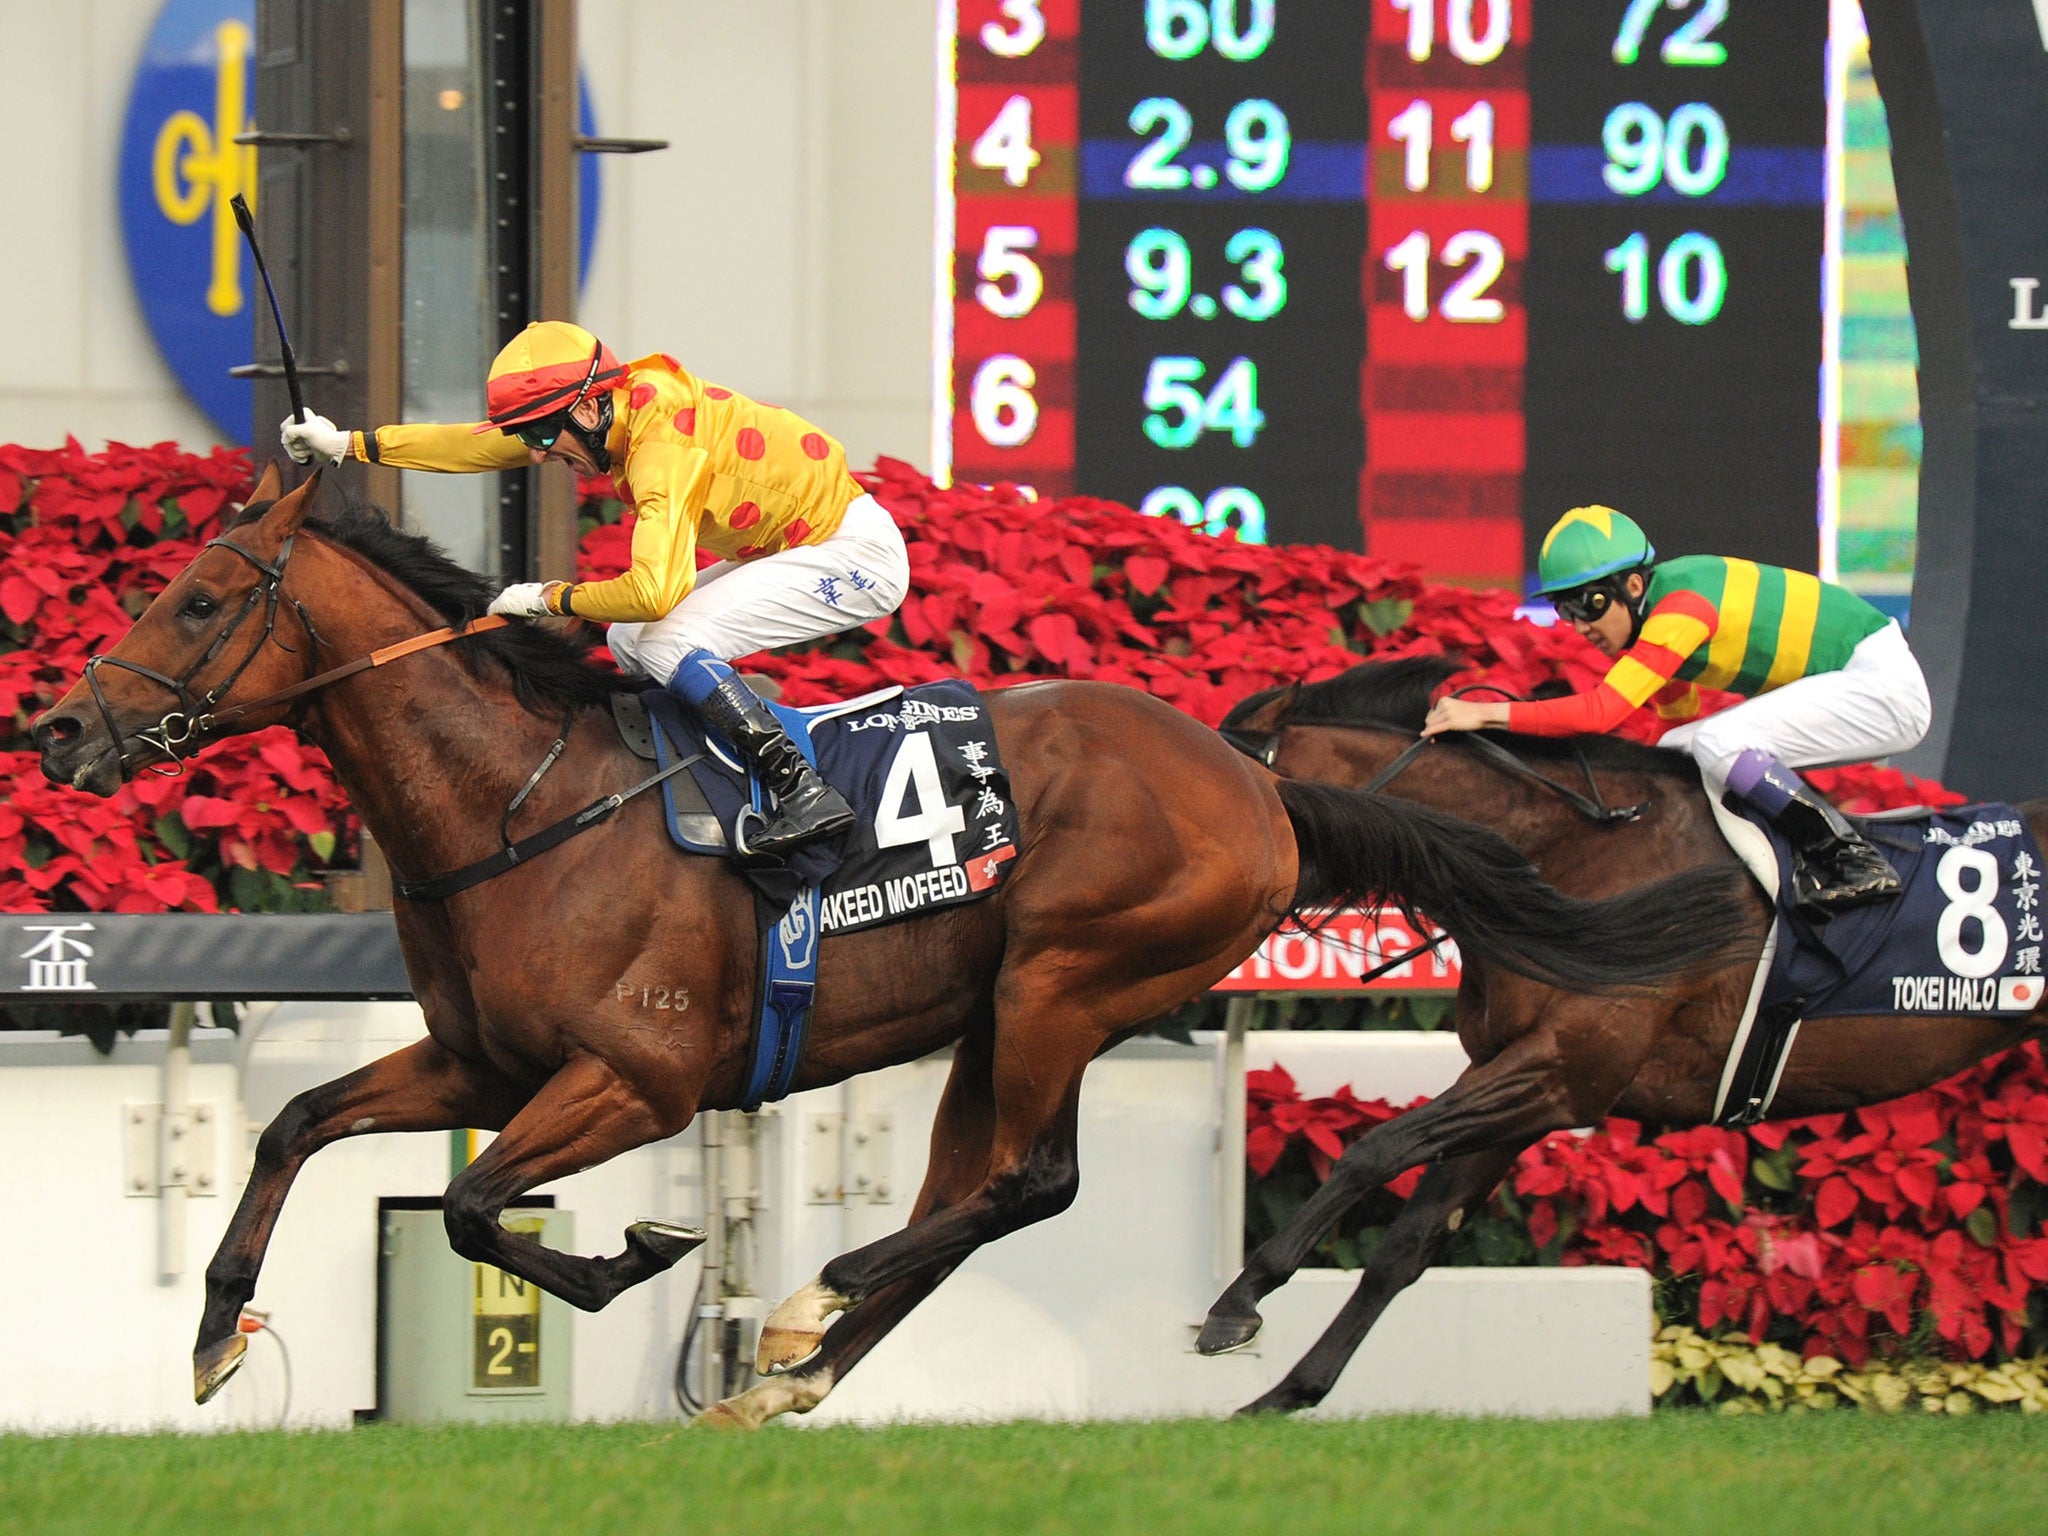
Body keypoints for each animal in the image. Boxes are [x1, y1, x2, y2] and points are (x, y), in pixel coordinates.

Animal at [32, 473, 1744, 1433]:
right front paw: (211, 1334)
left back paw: (816, 1305)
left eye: (198, 599)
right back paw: (800, 1361)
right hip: (997, 1016)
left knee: (1026, 1184)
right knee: (975, 1198)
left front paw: (635, 1255)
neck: (522, 806)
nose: (57, 730)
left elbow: (465, 1206)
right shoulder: (479, 1057)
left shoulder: (640, 1077)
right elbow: (297, 1124)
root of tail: (1257, 781)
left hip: (1068, 977)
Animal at [1196, 655, 2048, 1417]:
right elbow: (1409, 1244)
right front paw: (1287, 1391)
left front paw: (1239, 1300)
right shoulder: (1517, 1078)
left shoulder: (1562, 1075)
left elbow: (1375, 1149)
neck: (1570, 856)